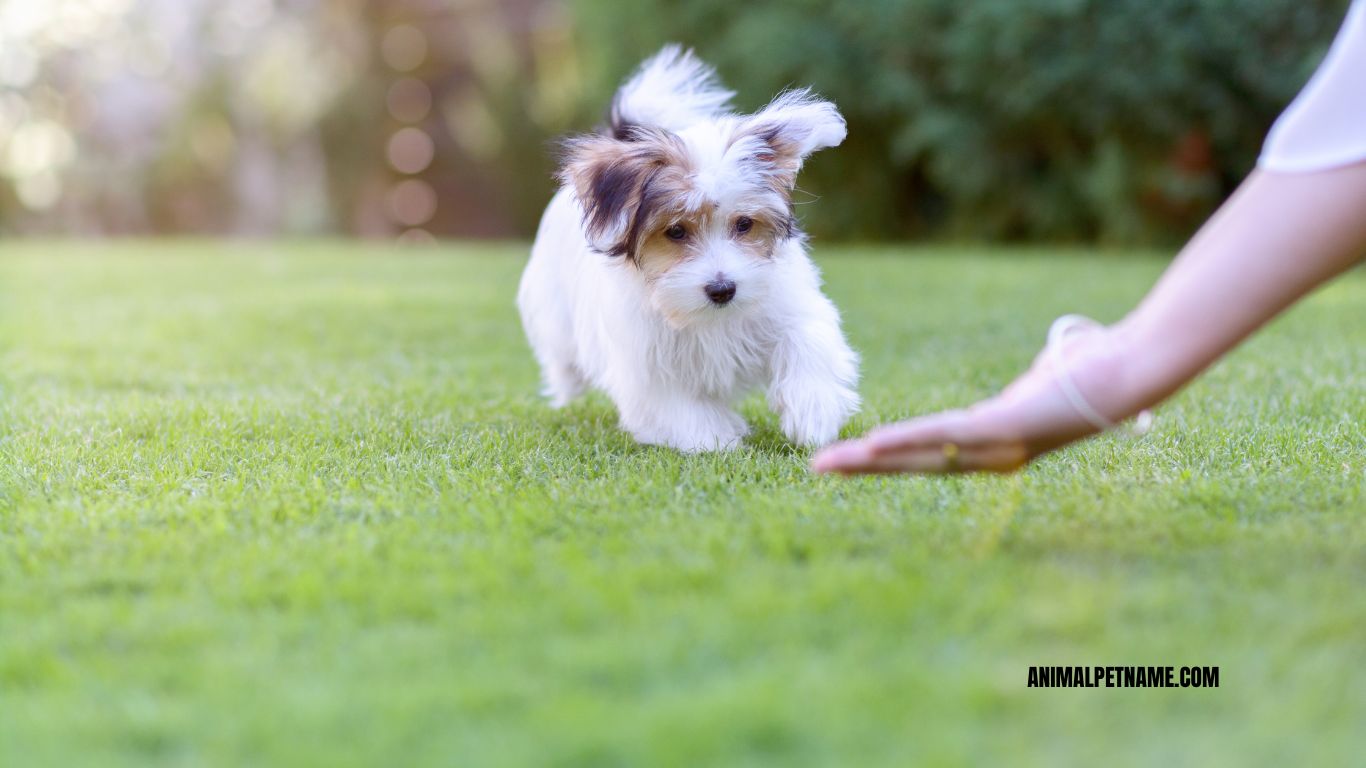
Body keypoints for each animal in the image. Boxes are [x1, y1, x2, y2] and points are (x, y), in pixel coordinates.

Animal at [516, 44, 857, 450]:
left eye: (744, 224)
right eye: (676, 231)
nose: (723, 290)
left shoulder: (789, 306)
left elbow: (807, 340)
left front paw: (814, 412)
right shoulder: (647, 363)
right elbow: (679, 406)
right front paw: (716, 439)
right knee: (562, 357)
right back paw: (567, 384)